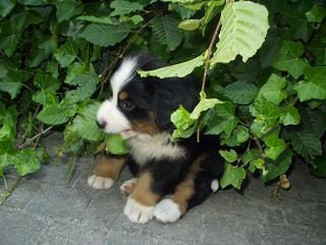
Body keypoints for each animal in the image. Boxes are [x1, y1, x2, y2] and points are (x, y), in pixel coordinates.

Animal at [86, 54, 224, 224]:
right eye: (110, 95)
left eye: (126, 104)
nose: (99, 123)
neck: (148, 135)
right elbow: (114, 154)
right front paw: (101, 175)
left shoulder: (172, 156)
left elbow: (152, 181)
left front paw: (139, 206)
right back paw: (132, 184)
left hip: (208, 157)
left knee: (195, 185)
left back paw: (169, 207)